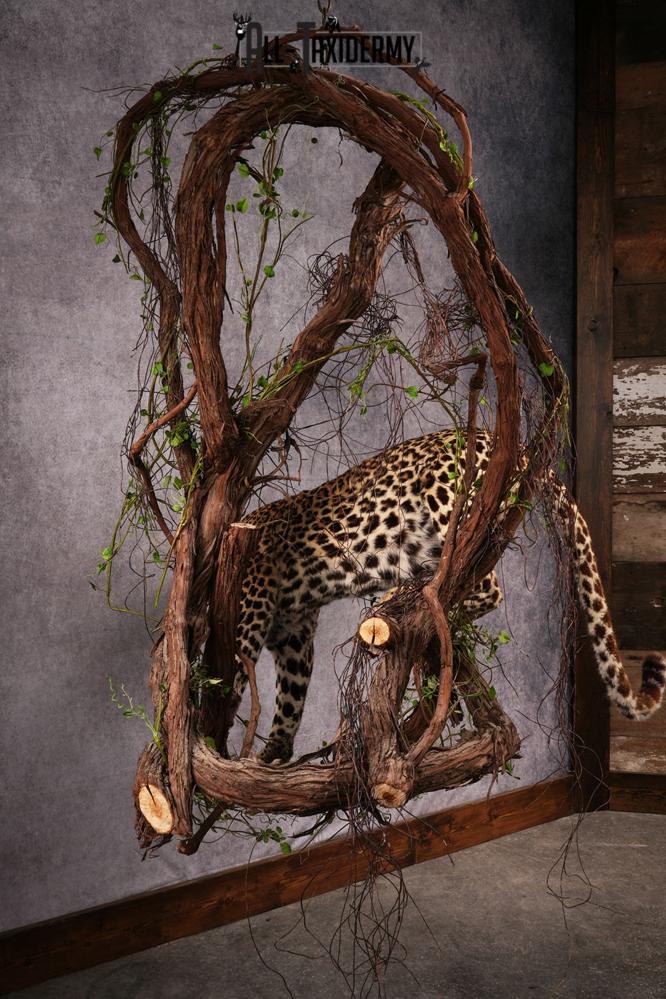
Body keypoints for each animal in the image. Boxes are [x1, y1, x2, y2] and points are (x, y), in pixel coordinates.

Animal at [231, 429, 666, 764]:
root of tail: (503, 439)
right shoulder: (293, 634)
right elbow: (291, 694)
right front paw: (273, 752)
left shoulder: (252, 602)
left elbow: (236, 666)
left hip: (447, 500)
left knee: (481, 585)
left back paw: (402, 600)